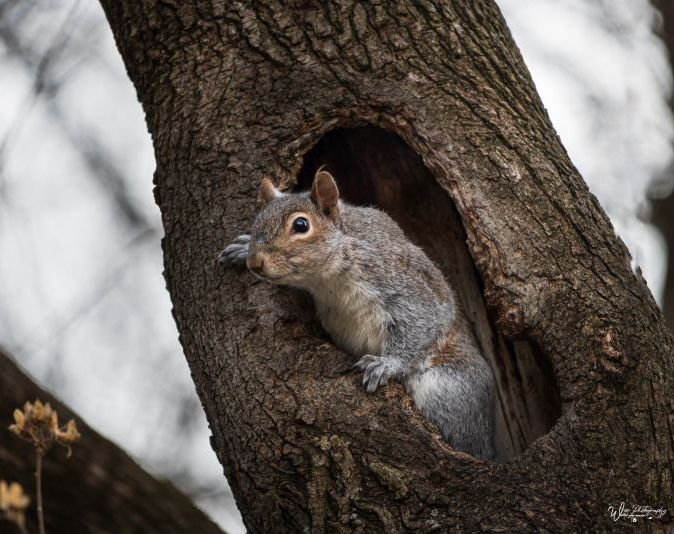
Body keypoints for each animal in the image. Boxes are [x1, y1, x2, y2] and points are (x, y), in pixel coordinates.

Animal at [219, 168, 495, 460]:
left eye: (301, 225)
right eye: (256, 221)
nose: (254, 262)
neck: (324, 278)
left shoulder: (398, 278)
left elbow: (421, 316)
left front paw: (387, 364)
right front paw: (241, 249)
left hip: (448, 388)